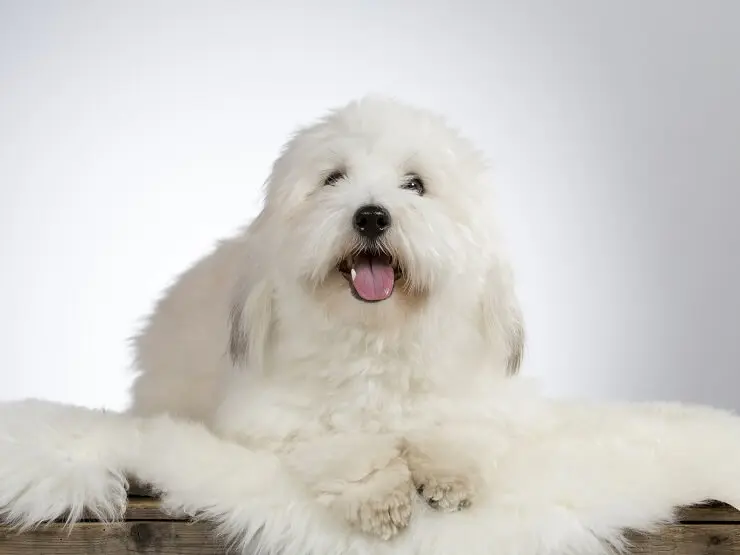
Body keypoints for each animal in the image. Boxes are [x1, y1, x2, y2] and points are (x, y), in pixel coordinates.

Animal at [125, 97, 528, 540]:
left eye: (415, 184)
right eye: (333, 178)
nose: (371, 217)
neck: (376, 337)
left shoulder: (476, 399)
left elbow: (458, 431)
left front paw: (450, 478)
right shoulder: (280, 419)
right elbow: (344, 448)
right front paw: (380, 497)